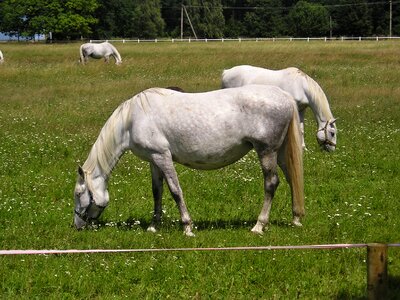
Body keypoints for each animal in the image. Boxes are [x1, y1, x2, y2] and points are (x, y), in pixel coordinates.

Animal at [73, 85, 304, 237]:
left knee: (271, 184)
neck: (132, 120)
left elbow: (175, 191)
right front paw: (153, 226)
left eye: (78, 194)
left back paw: (259, 225)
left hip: (266, 151)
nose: (77, 225)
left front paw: (187, 227)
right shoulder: (153, 160)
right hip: (280, 153)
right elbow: (157, 192)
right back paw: (296, 219)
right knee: (292, 179)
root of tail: (285, 96)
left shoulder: (162, 156)